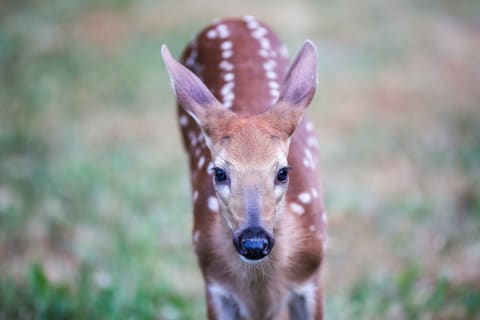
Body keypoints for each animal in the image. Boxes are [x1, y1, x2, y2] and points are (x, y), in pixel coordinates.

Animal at [161, 16, 326, 320]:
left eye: (282, 172)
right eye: (219, 172)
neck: (260, 292)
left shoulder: (312, 275)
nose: (254, 242)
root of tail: (230, 19)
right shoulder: (214, 283)